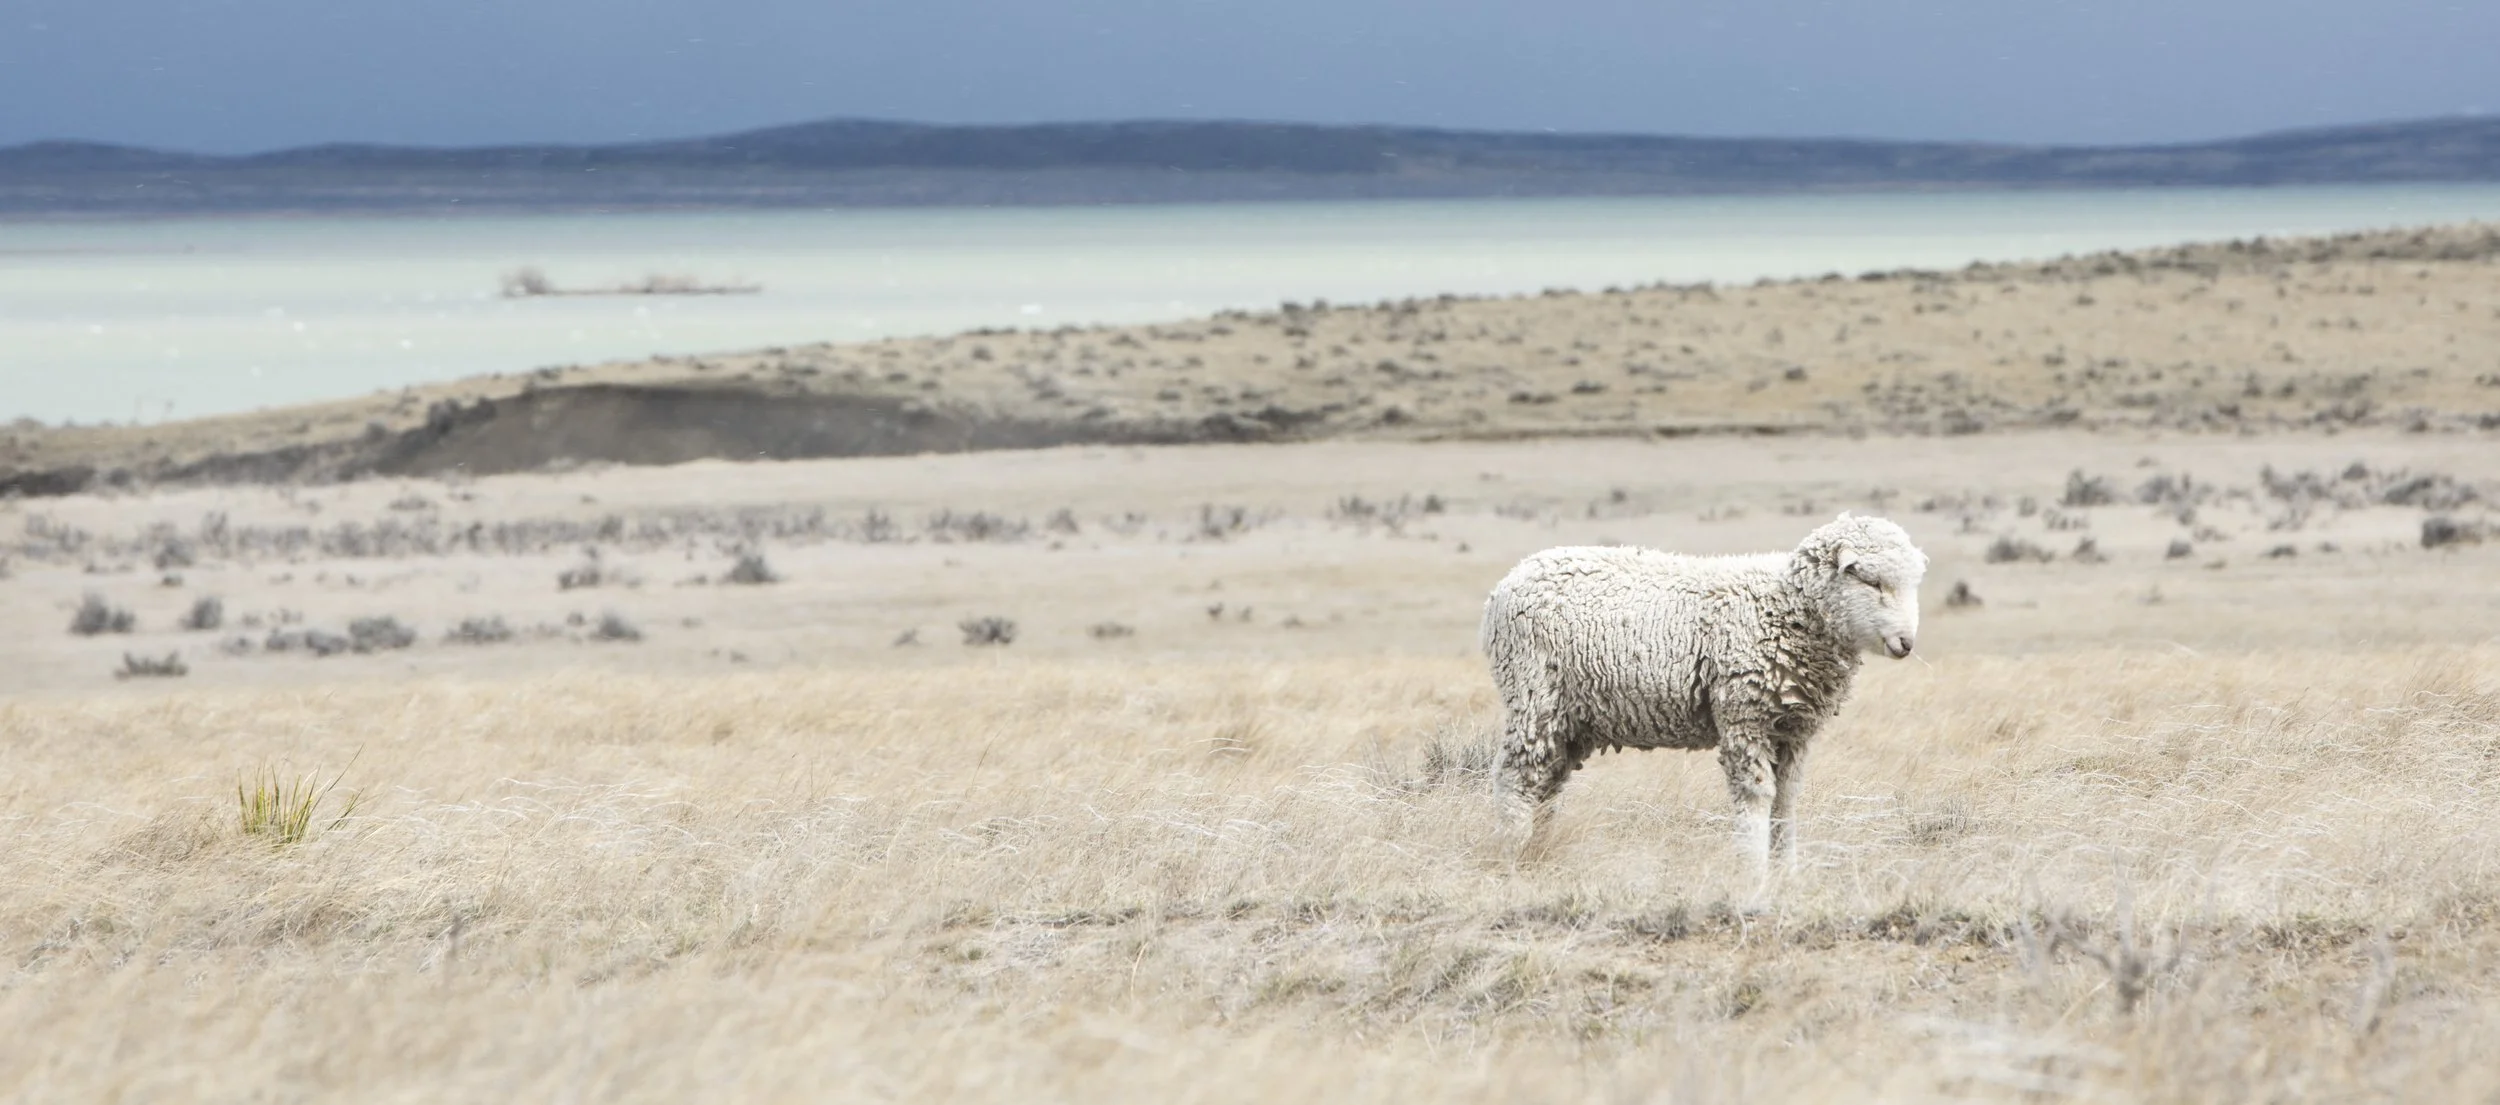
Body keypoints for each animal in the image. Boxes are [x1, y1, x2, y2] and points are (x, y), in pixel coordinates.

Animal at [1480, 513, 1928, 880]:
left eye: (1912, 585)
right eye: (1871, 581)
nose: (1906, 643)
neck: (1786, 609)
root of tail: (1503, 588)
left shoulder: (1792, 731)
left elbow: (1785, 803)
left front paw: (1786, 872)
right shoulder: (1745, 718)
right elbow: (1756, 799)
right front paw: (1753, 872)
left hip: (1571, 719)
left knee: (1547, 785)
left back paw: (1540, 853)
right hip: (1534, 696)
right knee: (1514, 779)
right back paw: (1512, 858)